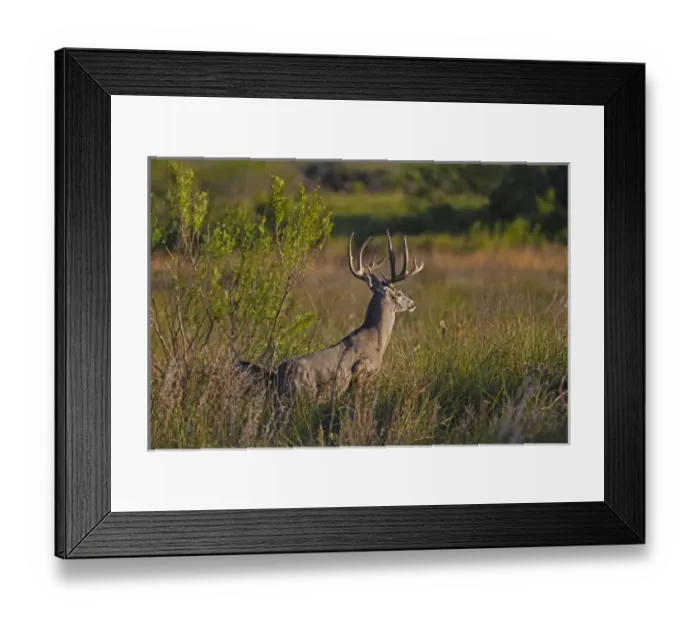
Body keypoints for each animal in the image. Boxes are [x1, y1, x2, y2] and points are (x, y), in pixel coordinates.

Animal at [234, 230, 425, 404]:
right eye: (398, 293)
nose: (413, 304)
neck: (376, 339)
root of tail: (275, 374)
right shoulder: (361, 372)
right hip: (300, 395)